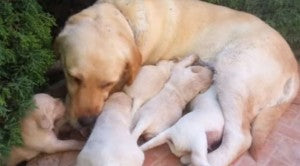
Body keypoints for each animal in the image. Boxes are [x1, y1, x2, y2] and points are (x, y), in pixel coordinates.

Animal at [55, 0, 298, 165]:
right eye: (74, 77)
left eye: (108, 83)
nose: (86, 121)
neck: (124, 14)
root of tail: (294, 66)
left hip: (234, 75)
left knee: (241, 138)